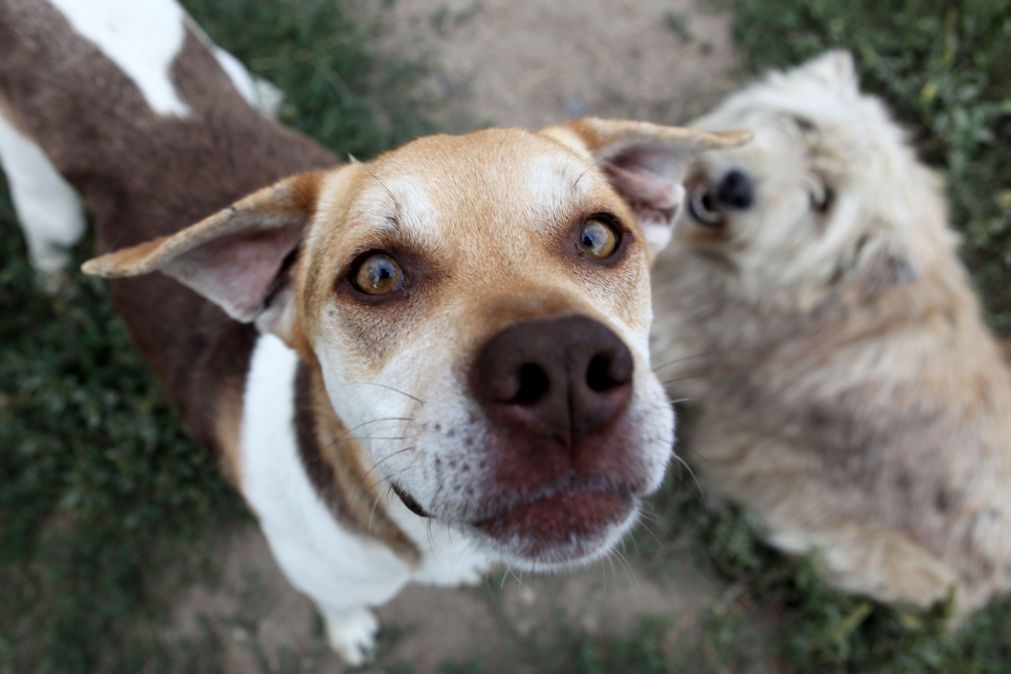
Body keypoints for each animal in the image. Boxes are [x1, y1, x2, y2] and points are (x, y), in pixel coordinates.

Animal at [0, 0, 748, 662]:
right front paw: (350, 632)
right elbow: (339, 607)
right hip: (45, 199)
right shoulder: (317, 574)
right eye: (376, 275)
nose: (564, 367)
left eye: (599, 236)